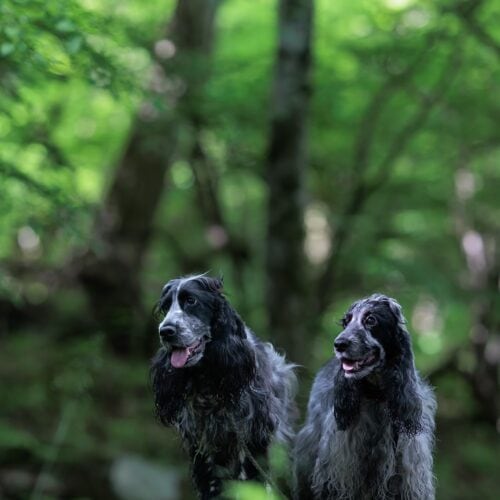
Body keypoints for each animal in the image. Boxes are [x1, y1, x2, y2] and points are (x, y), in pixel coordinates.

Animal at [149, 276, 296, 498]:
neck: (209, 383)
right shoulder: (201, 449)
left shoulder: (254, 442)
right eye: (166, 307)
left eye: (191, 300)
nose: (165, 331)